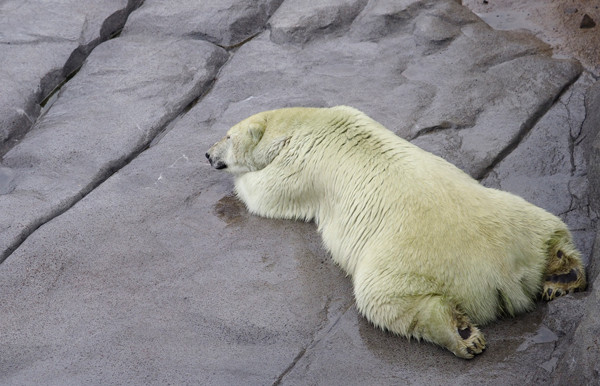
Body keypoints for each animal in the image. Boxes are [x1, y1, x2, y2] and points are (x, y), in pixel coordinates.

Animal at [205, 106, 584, 358]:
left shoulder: (299, 164)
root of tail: (501, 272)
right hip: (515, 214)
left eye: (227, 135)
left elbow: (266, 194)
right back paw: (563, 275)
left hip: (402, 257)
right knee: (552, 231)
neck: (307, 122)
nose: (207, 154)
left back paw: (462, 335)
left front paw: (239, 181)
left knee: (383, 299)